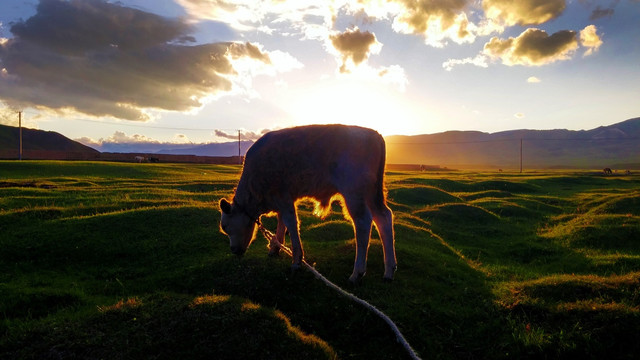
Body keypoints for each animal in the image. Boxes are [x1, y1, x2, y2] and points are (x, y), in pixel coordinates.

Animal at [222, 125, 398, 282]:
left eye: (227, 228)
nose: (234, 250)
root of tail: (375, 134)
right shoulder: (283, 201)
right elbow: (281, 224)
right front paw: (275, 248)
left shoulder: (284, 198)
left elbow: (291, 225)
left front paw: (296, 261)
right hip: (372, 195)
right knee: (384, 217)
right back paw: (389, 270)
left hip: (355, 194)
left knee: (363, 223)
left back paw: (357, 273)